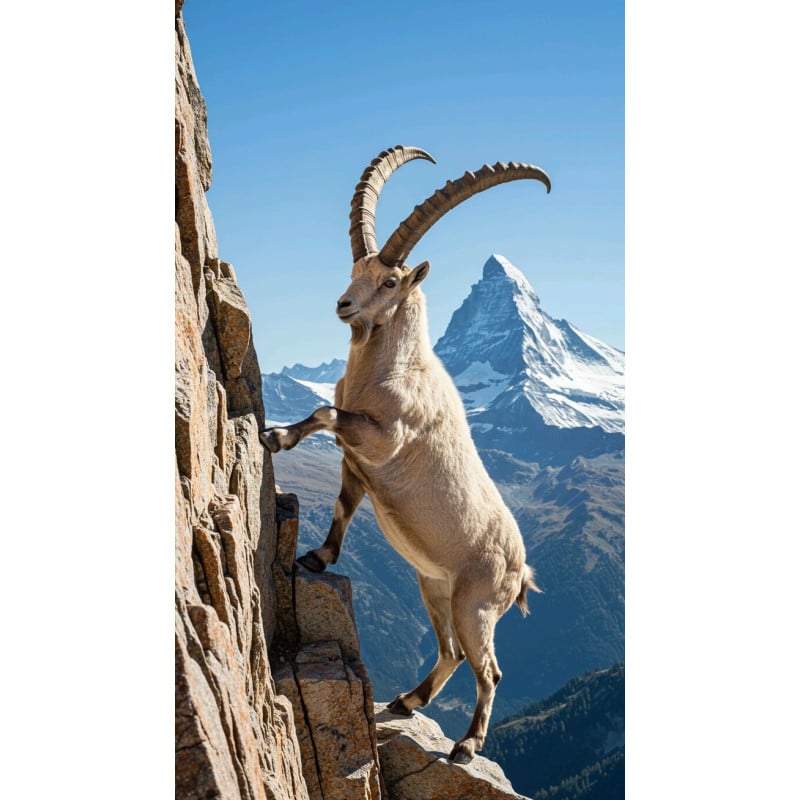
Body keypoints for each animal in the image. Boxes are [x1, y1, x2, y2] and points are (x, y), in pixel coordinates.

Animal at [261, 145, 550, 764]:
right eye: (355, 271)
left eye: (391, 280)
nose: (344, 304)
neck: (386, 373)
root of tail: (522, 571)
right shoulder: (356, 463)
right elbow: (343, 503)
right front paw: (316, 558)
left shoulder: (382, 437)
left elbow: (324, 414)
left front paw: (275, 437)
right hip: (433, 587)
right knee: (452, 652)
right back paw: (406, 700)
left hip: (475, 603)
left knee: (489, 670)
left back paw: (466, 744)